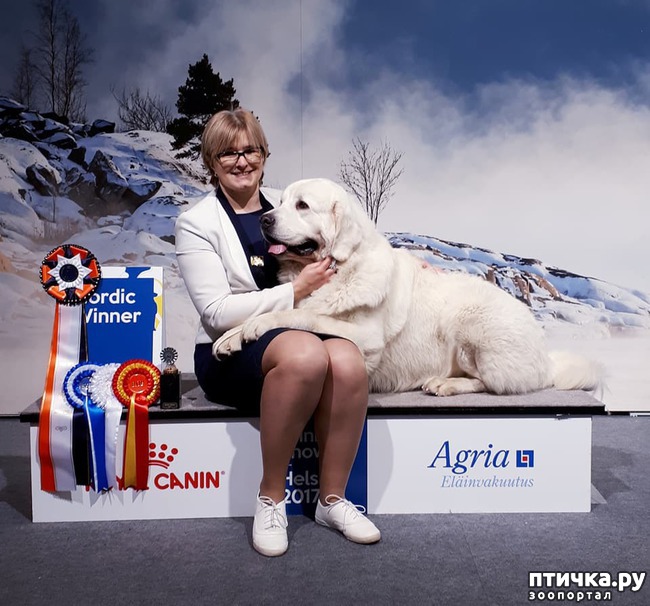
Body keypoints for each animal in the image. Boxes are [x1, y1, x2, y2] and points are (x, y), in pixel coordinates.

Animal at [214, 178, 596, 396]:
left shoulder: (365, 337)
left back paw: (446, 383)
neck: (343, 268)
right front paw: (229, 337)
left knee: (493, 384)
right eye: (279, 203)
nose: (264, 219)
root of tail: (546, 356)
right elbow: (284, 307)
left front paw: (258, 325)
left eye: (302, 205)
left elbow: (303, 316)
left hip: (470, 323)